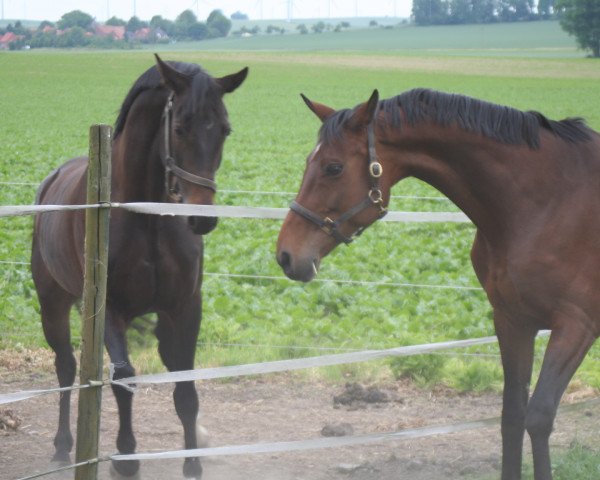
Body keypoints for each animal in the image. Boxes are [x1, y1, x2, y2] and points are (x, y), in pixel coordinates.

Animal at [31, 55, 247, 476]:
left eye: (225, 129)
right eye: (179, 127)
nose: (202, 219)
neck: (145, 217)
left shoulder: (184, 308)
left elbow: (185, 386)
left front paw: (192, 463)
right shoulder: (111, 310)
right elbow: (124, 379)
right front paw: (127, 458)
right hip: (53, 304)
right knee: (65, 367)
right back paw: (63, 445)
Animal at [278, 87, 600, 480]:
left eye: (333, 167)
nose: (286, 255)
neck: (549, 201)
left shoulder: (575, 325)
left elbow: (538, 417)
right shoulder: (513, 321)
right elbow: (512, 415)